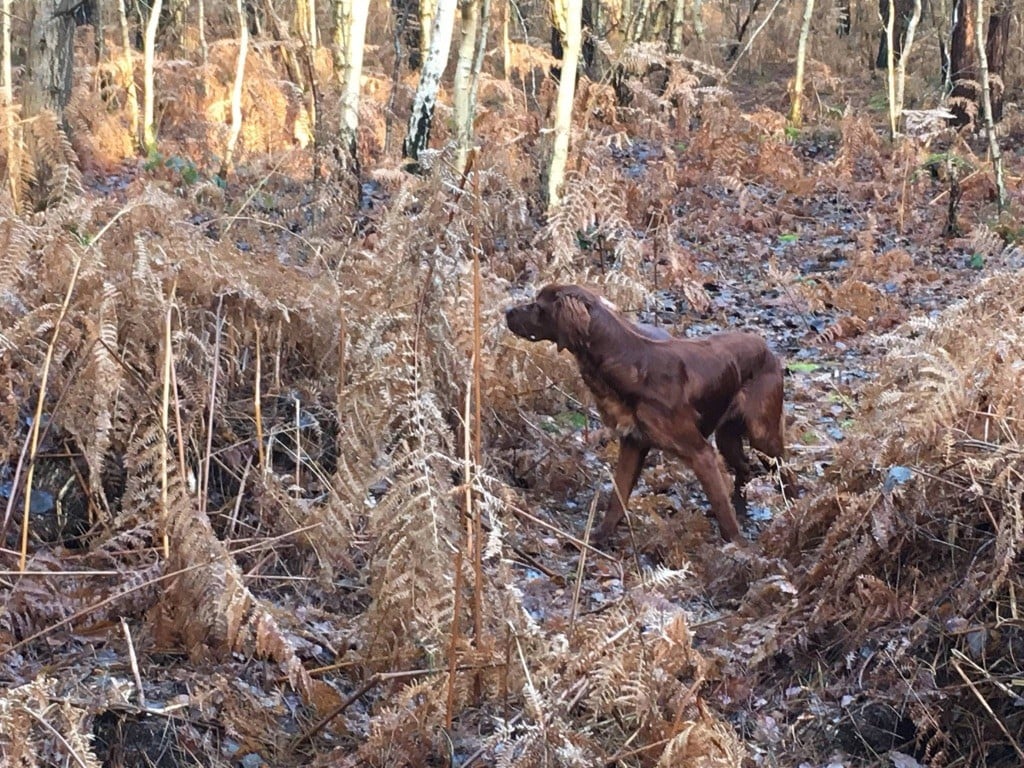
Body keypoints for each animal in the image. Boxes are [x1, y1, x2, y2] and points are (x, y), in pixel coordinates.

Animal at [505, 284, 790, 548]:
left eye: (538, 307)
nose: (507, 312)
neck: (628, 363)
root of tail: (766, 348)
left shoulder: (700, 452)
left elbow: (721, 507)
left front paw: (738, 548)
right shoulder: (633, 443)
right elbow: (617, 498)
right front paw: (597, 538)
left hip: (761, 432)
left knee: (782, 466)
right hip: (727, 436)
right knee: (745, 467)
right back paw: (742, 509)